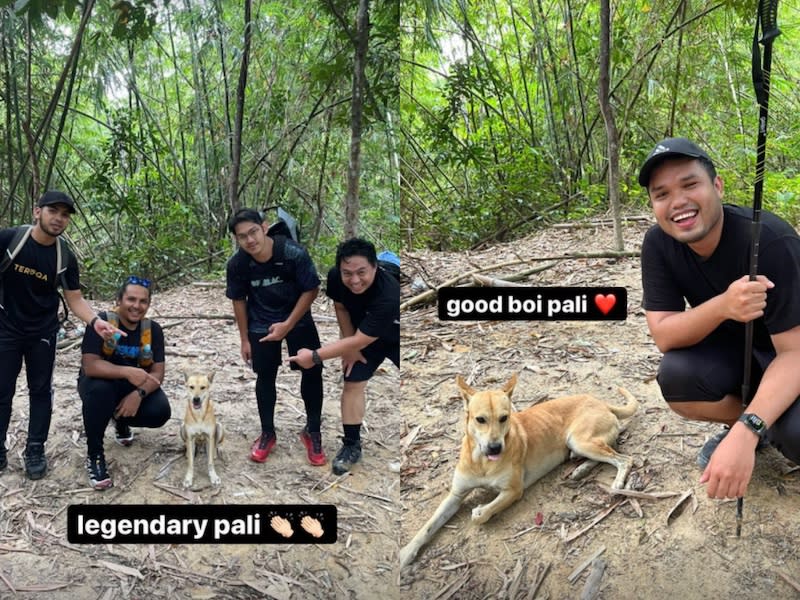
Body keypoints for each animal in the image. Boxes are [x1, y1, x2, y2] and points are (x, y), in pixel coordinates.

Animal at [398, 372, 636, 568]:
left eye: (504, 417)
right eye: (480, 419)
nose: (495, 447)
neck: (482, 462)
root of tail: (601, 402)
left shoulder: (513, 491)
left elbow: (483, 514)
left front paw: (479, 510)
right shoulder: (456, 495)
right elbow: (429, 526)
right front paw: (406, 553)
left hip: (580, 440)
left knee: (624, 459)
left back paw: (617, 483)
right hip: (581, 444)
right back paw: (581, 470)